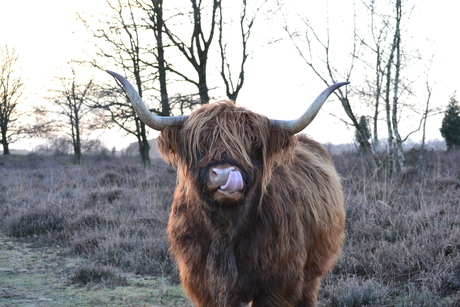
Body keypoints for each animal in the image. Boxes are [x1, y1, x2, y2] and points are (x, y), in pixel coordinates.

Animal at [107, 71, 344, 307]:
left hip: (312, 272)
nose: (224, 174)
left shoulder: (278, 284)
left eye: (252, 144)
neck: (224, 229)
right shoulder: (204, 284)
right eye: (200, 145)